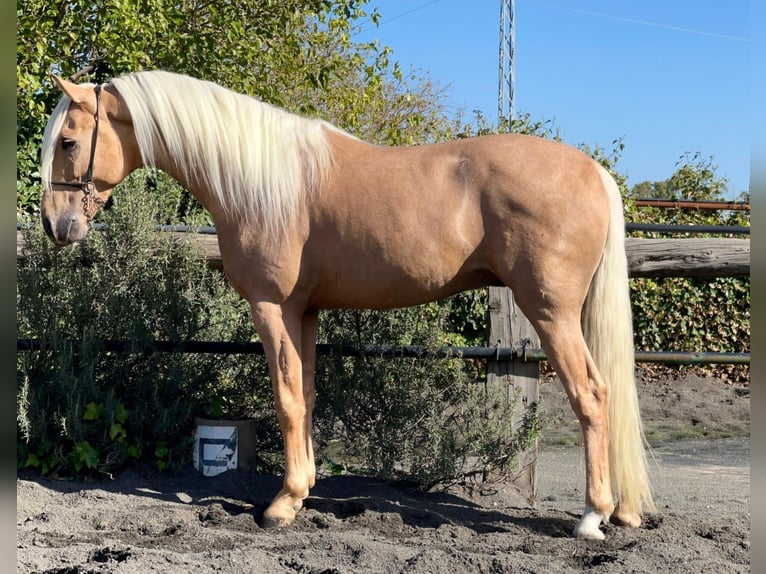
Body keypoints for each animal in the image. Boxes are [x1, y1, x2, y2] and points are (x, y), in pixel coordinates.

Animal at [40, 70, 656, 544]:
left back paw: (592, 517)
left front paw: (281, 505)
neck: (258, 180)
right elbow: (307, 396)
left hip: (551, 312)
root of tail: (595, 172)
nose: (54, 226)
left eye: (68, 141)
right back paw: (621, 512)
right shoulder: (305, 312)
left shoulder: (272, 307)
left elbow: (286, 399)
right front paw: (303, 491)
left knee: (592, 395)